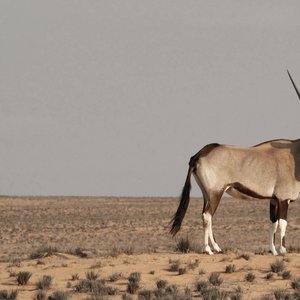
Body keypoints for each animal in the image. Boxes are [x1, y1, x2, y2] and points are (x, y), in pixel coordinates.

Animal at [171, 71, 300, 255]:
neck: (295, 152)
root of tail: (199, 154)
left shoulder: (273, 200)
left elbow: (273, 224)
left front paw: (273, 251)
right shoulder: (283, 199)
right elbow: (283, 224)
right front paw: (283, 250)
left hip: (207, 193)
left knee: (207, 215)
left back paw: (216, 247)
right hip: (216, 192)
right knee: (207, 215)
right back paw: (208, 249)